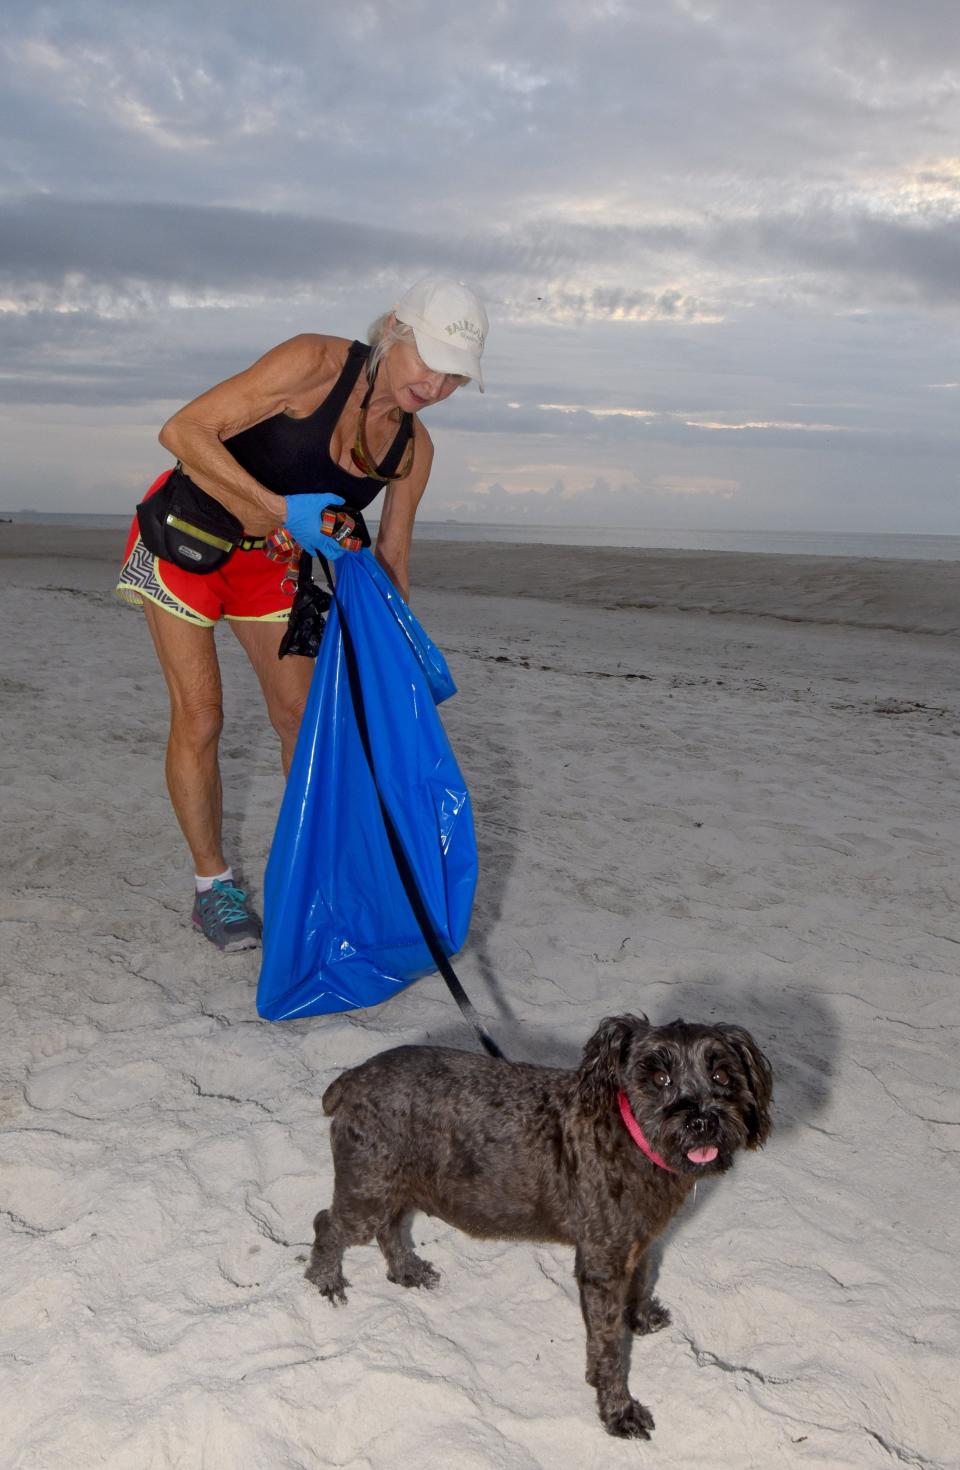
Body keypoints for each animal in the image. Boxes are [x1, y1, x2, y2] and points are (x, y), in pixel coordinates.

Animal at [307, 1017, 770, 1440]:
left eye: (722, 1075)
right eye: (659, 1078)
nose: (703, 1121)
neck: (629, 1135)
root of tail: (352, 1079)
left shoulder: (637, 1243)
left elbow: (640, 1283)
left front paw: (639, 1319)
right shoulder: (601, 1265)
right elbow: (609, 1349)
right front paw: (618, 1411)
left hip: (394, 1184)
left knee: (390, 1226)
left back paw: (407, 1271)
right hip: (370, 1188)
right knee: (328, 1222)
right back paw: (326, 1280)